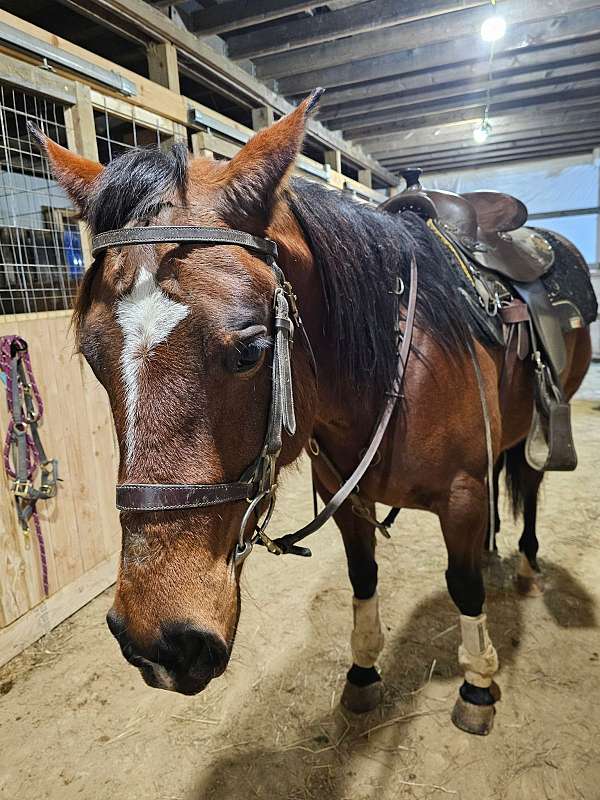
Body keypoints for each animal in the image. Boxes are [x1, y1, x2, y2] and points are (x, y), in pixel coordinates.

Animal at [34, 90, 592, 735]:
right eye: (92, 355)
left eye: (251, 350)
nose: (160, 641)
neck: (390, 374)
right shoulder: (345, 497)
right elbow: (363, 577)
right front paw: (364, 673)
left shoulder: (461, 495)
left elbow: (464, 586)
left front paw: (477, 684)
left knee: (527, 476)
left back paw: (523, 560)